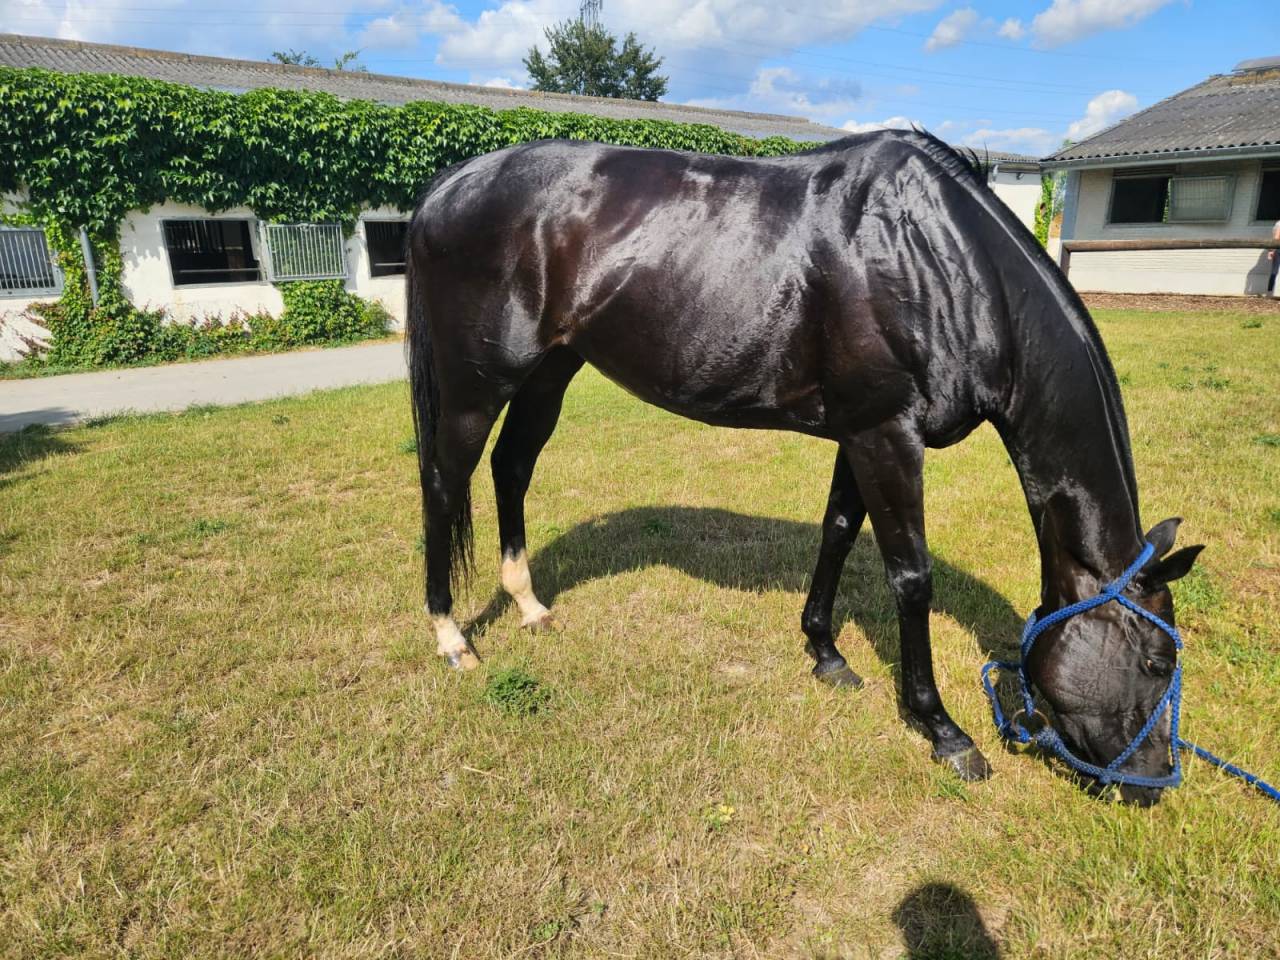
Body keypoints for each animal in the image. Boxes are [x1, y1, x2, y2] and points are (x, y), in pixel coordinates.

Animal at [403, 129, 1203, 805]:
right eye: (1157, 662)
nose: (1152, 784)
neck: (946, 264)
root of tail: (450, 185)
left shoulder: (861, 434)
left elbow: (839, 531)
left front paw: (825, 653)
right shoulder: (887, 436)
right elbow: (910, 577)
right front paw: (942, 729)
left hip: (550, 371)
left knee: (512, 467)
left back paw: (529, 604)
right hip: (477, 384)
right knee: (445, 483)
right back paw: (450, 637)